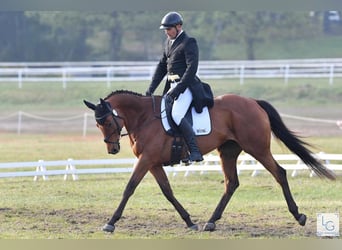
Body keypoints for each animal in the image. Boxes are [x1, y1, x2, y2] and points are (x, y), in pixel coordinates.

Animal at [84, 91, 336, 233]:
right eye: (97, 124)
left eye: (108, 122)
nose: (112, 149)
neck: (145, 117)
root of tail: (253, 102)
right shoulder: (153, 163)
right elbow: (167, 192)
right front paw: (189, 221)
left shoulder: (147, 160)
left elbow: (129, 188)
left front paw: (111, 222)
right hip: (229, 152)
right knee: (231, 183)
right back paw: (211, 222)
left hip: (257, 148)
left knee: (280, 173)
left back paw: (298, 215)